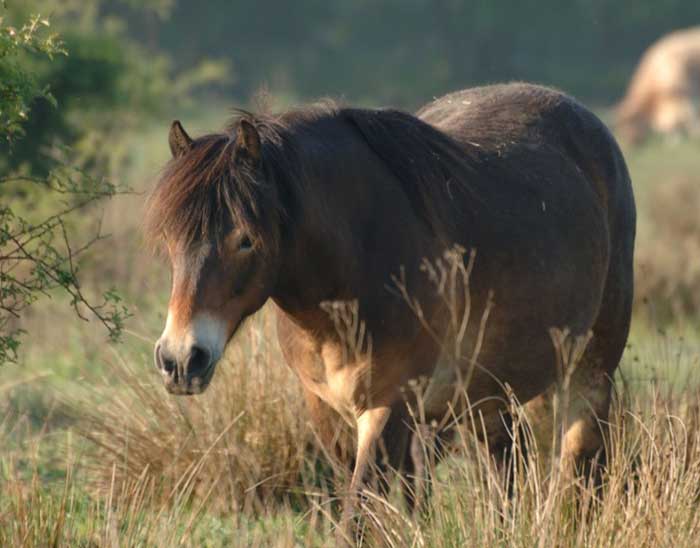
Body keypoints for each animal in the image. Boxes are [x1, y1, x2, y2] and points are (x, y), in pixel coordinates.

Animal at [145, 83, 636, 504]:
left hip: (589, 373)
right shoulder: (327, 411)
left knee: (579, 471)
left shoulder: (388, 406)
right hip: (491, 395)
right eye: (169, 238)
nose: (181, 359)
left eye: (246, 239)